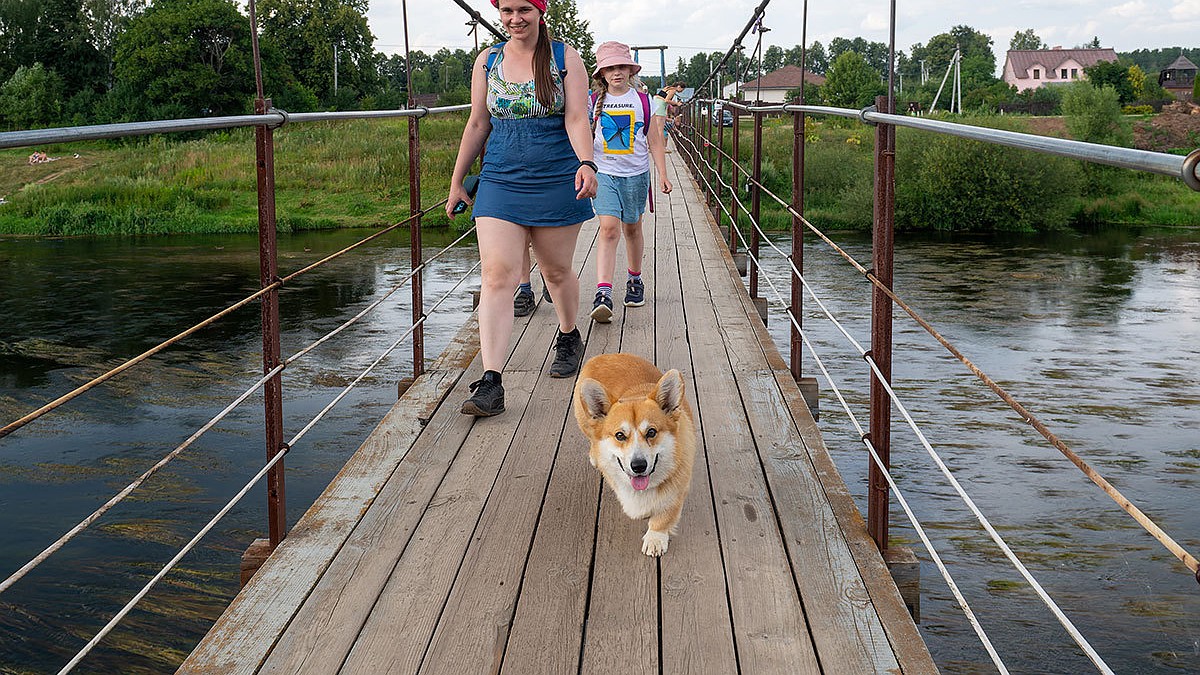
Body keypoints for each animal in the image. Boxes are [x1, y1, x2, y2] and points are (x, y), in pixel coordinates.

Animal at [573, 353, 700, 552]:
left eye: (652, 432)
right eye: (620, 435)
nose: (638, 466)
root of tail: (603, 355)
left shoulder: (677, 493)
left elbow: (663, 517)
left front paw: (655, 538)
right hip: (584, 422)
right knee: (592, 438)